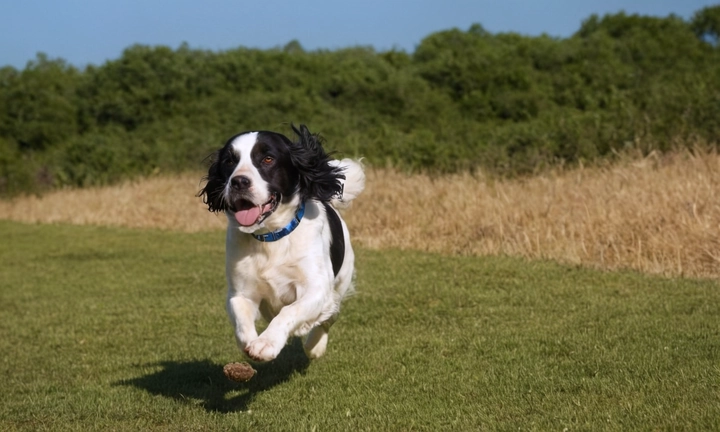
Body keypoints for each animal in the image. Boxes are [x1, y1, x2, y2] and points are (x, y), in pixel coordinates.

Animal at [198, 125, 362, 362]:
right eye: (229, 161)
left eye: (268, 159)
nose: (238, 182)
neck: (271, 237)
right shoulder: (240, 291)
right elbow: (241, 319)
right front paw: (252, 343)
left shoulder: (316, 286)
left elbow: (290, 311)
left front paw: (266, 344)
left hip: (340, 283)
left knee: (328, 317)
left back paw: (314, 345)